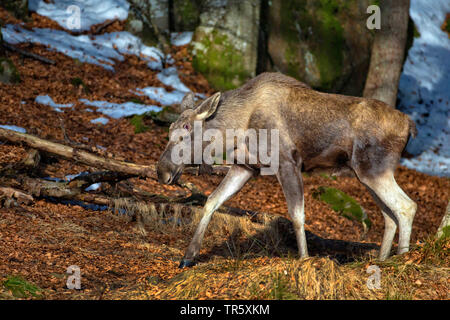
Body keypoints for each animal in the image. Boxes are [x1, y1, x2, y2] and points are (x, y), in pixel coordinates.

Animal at [156, 72, 416, 268]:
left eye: (186, 130)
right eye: (168, 129)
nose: (162, 172)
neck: (237, 129)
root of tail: (410, 126)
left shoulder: (287, 162)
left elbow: (297, 216)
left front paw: (304, 258)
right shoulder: (245, 167)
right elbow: (211, 201)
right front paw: (188, 257)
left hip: (373, 169)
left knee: (406, 206)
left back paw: (403, 258)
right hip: (366, 174)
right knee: (389, 215)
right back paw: (382, 260)